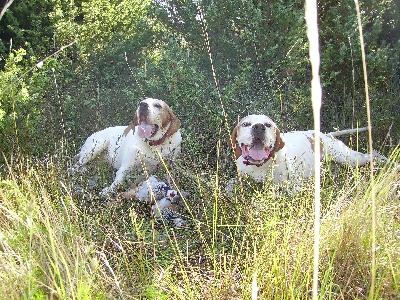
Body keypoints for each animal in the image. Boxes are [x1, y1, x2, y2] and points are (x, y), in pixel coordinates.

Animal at [230, 113, 386, 191]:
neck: (260, 165)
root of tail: (323, 135)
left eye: (268, 125)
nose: (258, 127)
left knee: (373, 153)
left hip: (349, 157)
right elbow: (229, 185)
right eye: (245, 124)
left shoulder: (294, 187)